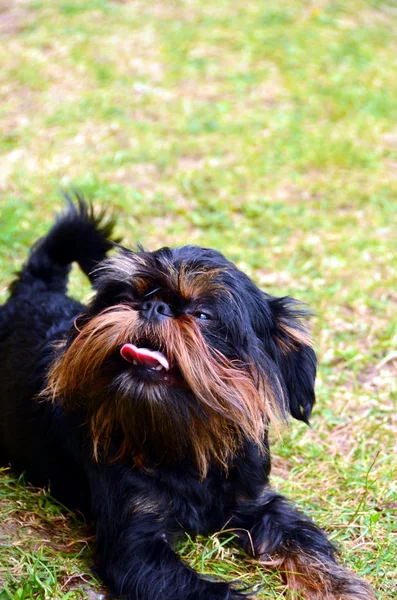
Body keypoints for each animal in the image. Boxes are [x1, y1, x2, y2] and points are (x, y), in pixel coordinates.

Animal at [0, 198, 374, 600]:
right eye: (126, 298)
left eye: (203, 314)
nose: (154, 307)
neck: (185, 437)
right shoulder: (137, 549)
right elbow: (209, 591)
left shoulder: (256, 504)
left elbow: (301, 539)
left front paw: (341, 586)